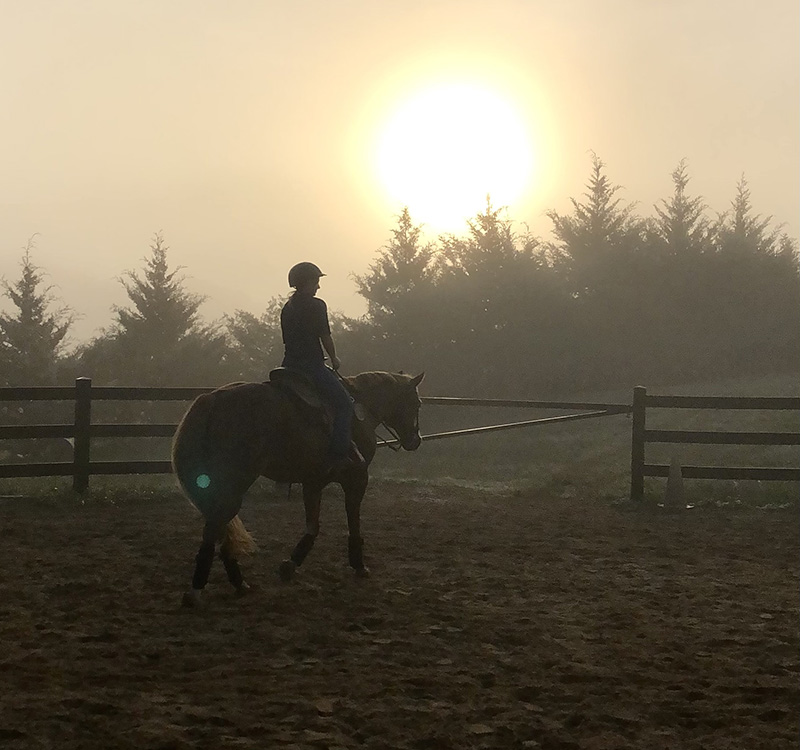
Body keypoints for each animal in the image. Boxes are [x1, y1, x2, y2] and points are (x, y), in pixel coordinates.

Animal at [170, 374, 424, 608]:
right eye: (417, 403)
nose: (415, 440)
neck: (360, 411)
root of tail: (212, 400)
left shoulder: (313, 481)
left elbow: (313, 525)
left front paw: (290, 565)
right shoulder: (357, 478)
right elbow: (353, 522)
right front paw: (359, 565)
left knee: (221, 531)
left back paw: (239, 584)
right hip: (232, 487)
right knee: (215, 530)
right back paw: (198, 591)